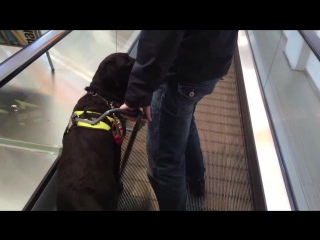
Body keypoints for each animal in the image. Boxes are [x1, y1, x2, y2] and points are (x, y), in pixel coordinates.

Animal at [56, 52, 135, 210]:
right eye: (127, 62)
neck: (101, 95)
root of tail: (80, 196)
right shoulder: (117, 145)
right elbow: (116, 169)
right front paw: (119, 185)